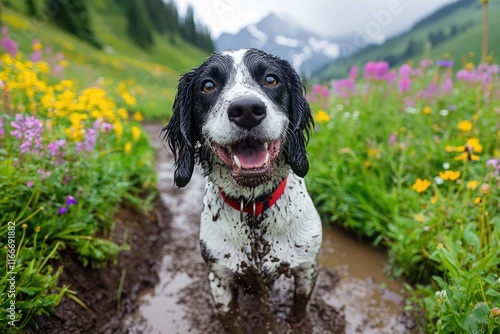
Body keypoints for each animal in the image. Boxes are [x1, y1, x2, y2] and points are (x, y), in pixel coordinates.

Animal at [162, 48, 322, 324]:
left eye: (271, 79)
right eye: (207, 85)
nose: (247, 109)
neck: (254, 208)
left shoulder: (307, 265)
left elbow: (300, 307)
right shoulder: (219, 278)